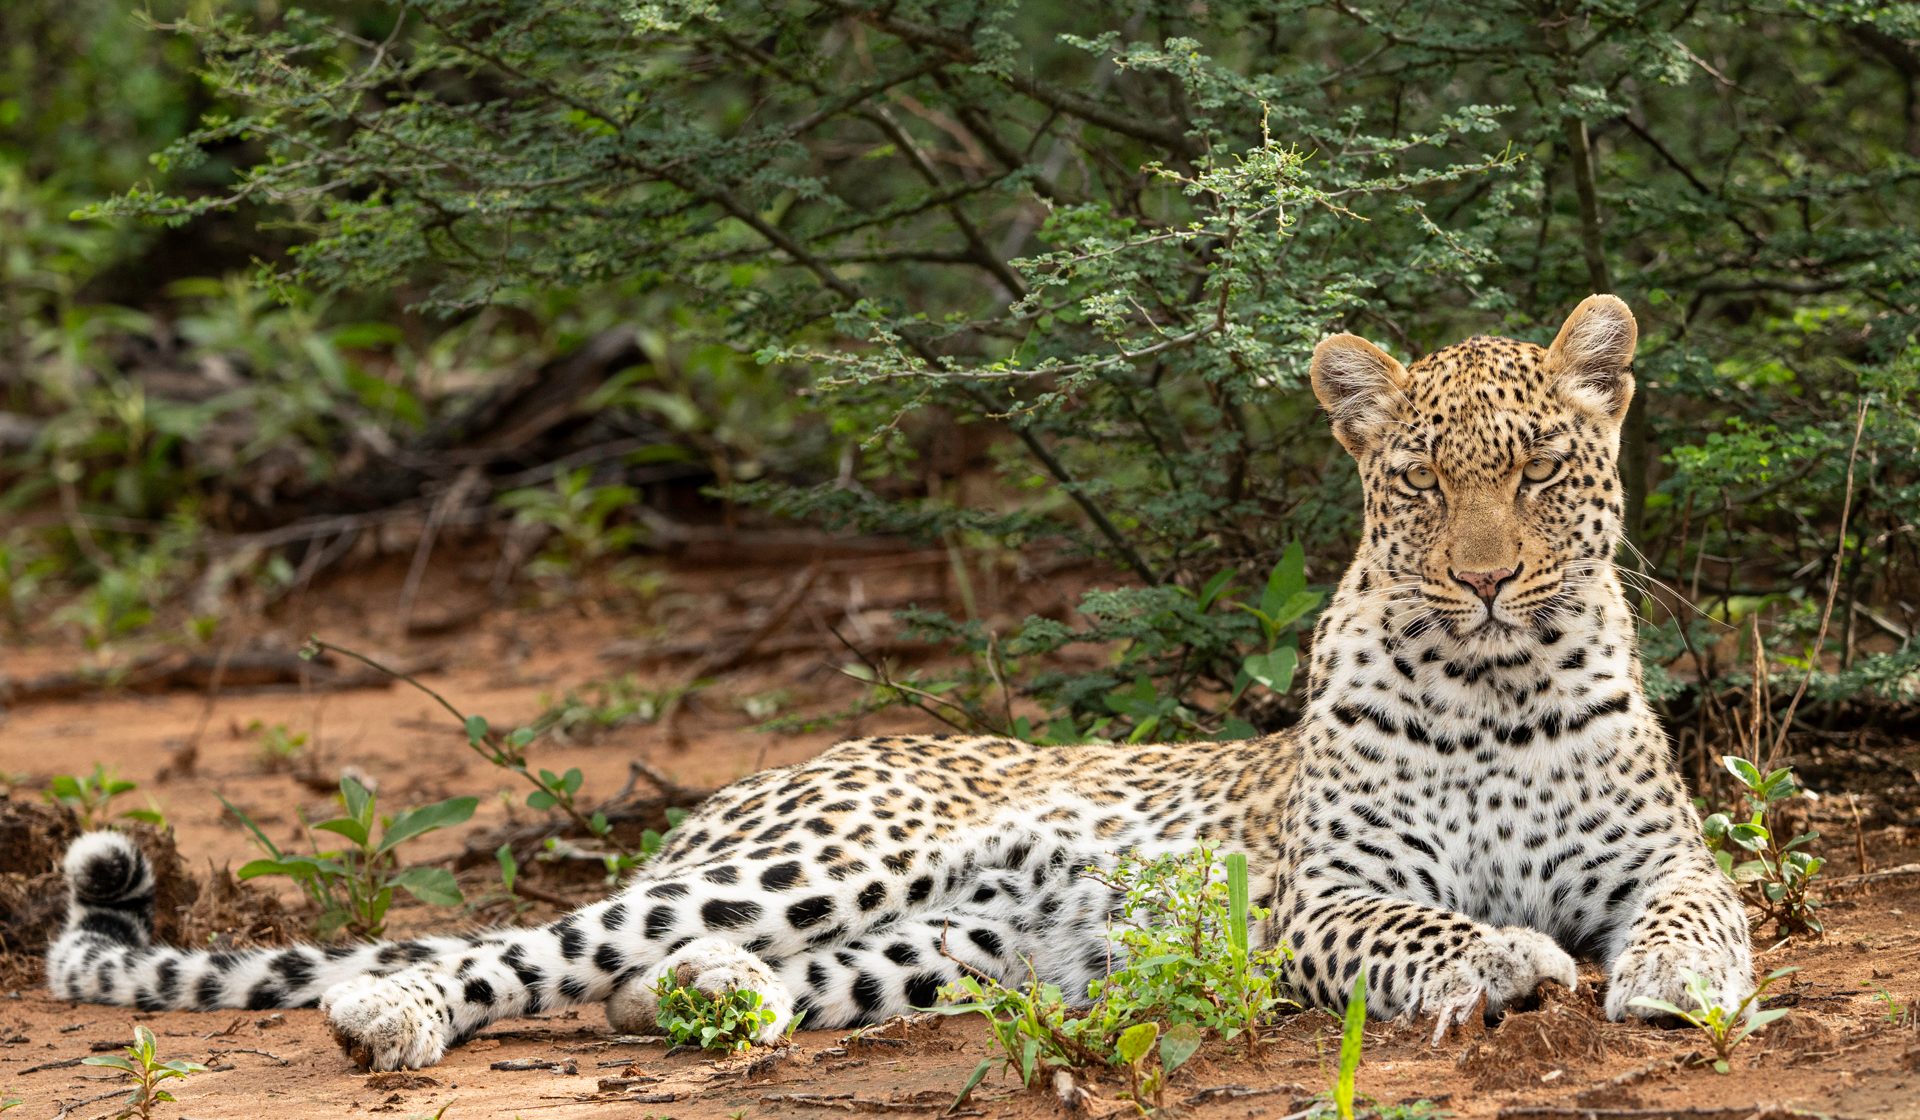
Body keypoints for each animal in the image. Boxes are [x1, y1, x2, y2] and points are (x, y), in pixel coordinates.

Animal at [47, 294, 1753, 1071]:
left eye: (1538, 475)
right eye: (1419, 484)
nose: (1485, 577)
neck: (1499, 686)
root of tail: (755, 781)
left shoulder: (1663, 854)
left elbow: (1701, 906)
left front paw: (1681, 984)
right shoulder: (1317, 899)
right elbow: (1425, 920)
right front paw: (1510, 960)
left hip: (954, 949)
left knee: (658, 979)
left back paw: (716, 1005)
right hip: (816, 858)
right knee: (523, 951)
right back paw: (384, 1015)